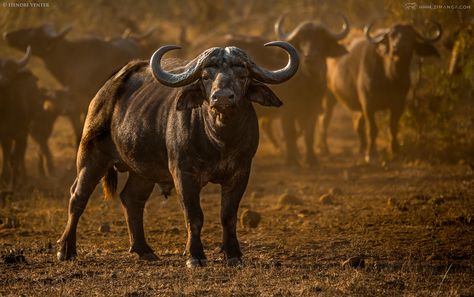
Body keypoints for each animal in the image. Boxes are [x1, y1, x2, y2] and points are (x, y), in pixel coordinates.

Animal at [56, 40, 300, 264]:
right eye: (205, 77)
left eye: (242, 75)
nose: (222, 97)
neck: (219, 140)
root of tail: (106, 89)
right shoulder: (183, 174)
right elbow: (194, 215)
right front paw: (195, 255)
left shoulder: (240, 173)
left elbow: (228, 216)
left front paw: (233, 255)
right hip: (91, 155)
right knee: (77, 196)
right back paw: (66, 249)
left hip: (143, 171)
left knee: (132, 199)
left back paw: (143, 250)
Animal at [320, 20, 442, 161]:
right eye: (392, 36)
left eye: (410, 36)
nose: (398, 47)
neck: (390, 77)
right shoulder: (368, 104)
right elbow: (373, 129)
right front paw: (371, 154)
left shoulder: (399, 104)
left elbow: (393, 127)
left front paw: (394, 150)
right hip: (329, 95)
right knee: (325, 120)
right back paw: (325, 149)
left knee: (357, 123)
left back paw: (361, 148)